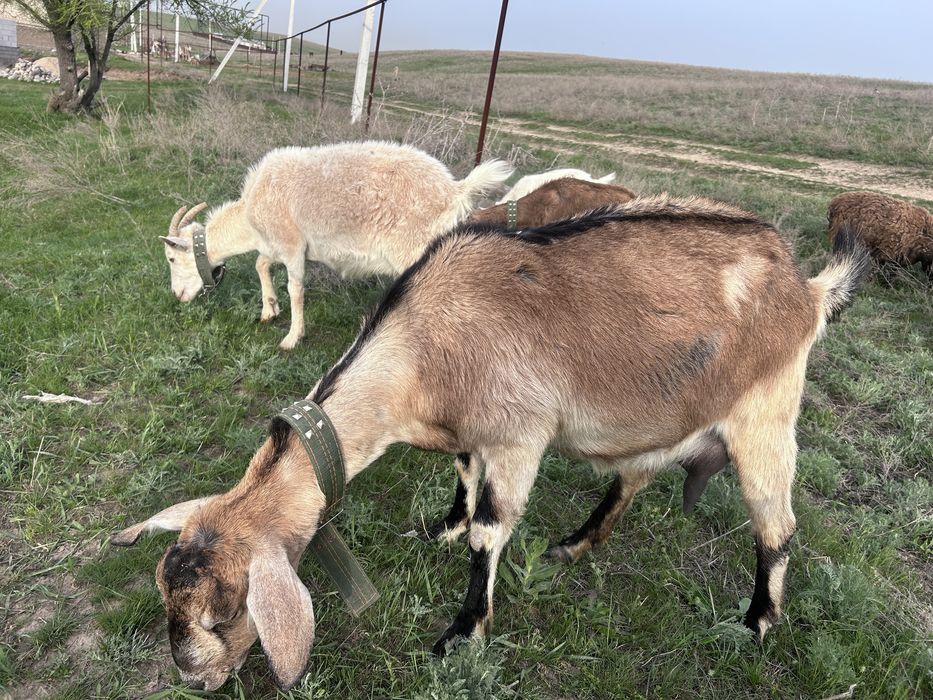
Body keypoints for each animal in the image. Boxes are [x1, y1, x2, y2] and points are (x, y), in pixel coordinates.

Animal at [116, 195, 870, 691]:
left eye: (224, 613)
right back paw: (575, 544)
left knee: (777, 525)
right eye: (164, 592)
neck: (423, 345)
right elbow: (461, 476)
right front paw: (441, 526)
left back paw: (757, 621)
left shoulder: (516, 436)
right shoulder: (468, 431)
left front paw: (462, 631)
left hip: (766, 413)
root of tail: (803, 285)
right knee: (633, 475)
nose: (194, 677)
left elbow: (490, 530)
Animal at [160, 141, 513, 349]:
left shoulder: (292, 244)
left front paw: (292, 337)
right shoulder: (274, 244)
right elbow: (261, 264)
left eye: (172, 259)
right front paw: (268, 310)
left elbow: (295, 288)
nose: (177, 296)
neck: (250, 214)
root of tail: (455, 190)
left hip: (417, 249)